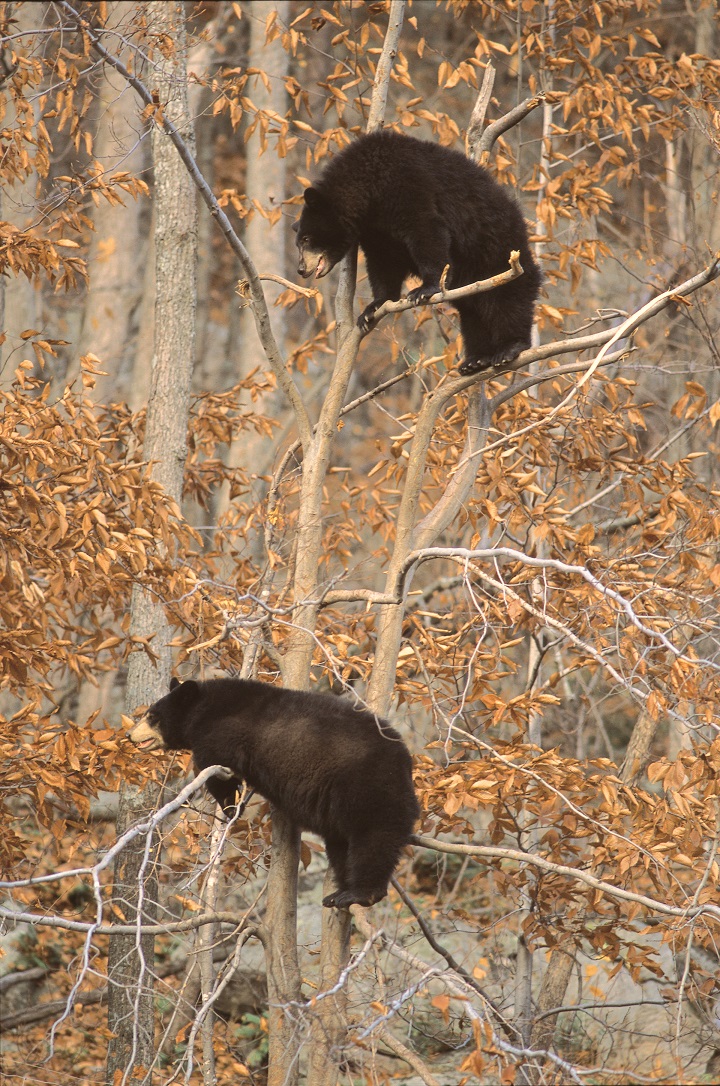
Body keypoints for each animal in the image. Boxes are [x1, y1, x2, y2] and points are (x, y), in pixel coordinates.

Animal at [127, 677, 419, 907]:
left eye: (152, 716)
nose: (130, 735)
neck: (203, 710)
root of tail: (405, 762)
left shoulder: (221, 732)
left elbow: (218, 769)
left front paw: (230, 807)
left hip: (366, 785)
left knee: (373, 838)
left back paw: (359, 894)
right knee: (341, 846)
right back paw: (338, 892)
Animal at [293, 129, 540, 375]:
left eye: (306, 239)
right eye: (298, 242)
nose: (301, 269)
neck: (368, 184)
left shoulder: (406, 184)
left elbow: (426, 229)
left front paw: (424, 289)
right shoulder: (376, 229)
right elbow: (383, 262)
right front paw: (373, 307)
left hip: (497, 252)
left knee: (508, 300)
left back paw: (509, 348)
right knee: (472, 313)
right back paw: (476, 360)